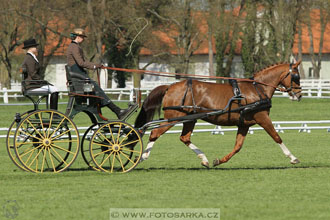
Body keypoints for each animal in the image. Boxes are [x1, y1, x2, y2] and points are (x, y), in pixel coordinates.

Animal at [133, 61, 302, 168]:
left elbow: (238, 146)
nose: (299, 95)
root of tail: (170, 86)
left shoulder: (244, 124)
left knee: (184, 138)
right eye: (296, 76)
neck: (257, 89)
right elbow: (277, 137)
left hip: (189, 119)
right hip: (173, 117)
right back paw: (142, 157)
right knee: (154, 133)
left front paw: (219, 161)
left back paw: (204, 159)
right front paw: (293, 158)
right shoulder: (262, 118)